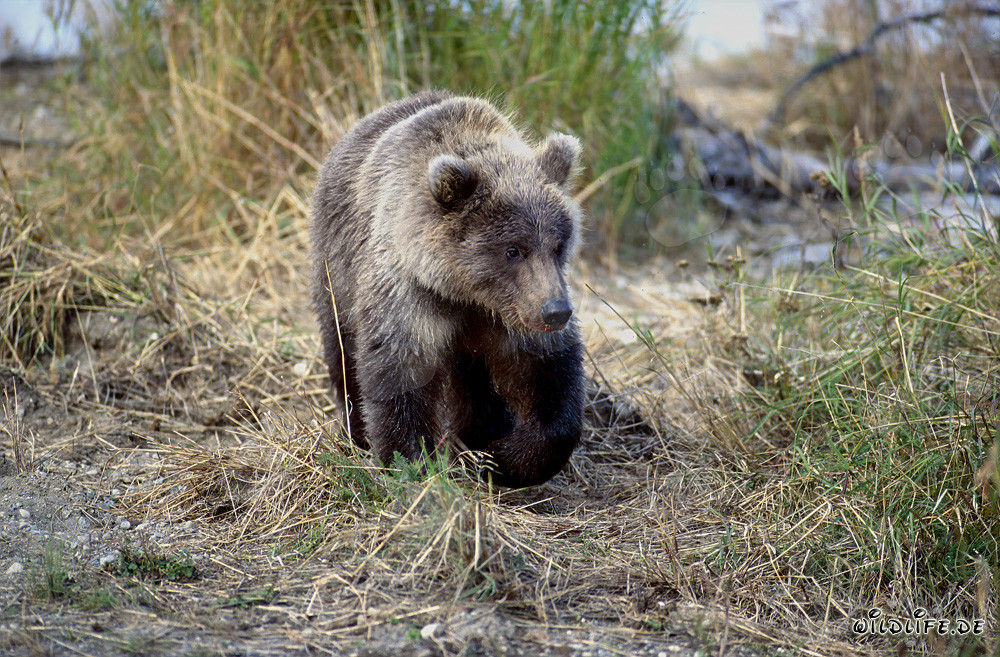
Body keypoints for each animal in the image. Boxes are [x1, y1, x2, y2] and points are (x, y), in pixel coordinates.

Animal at [310, 91, 585, 488]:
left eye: (558, 244)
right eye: (513, 249)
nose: (556, 311)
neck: (465, 292)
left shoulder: (512, 313)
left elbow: (547, 375)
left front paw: (499, 457)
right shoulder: (409, 294)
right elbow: (399, 373)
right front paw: (412, 461)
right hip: (336, 266)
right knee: (342, 347)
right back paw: (357, 432)